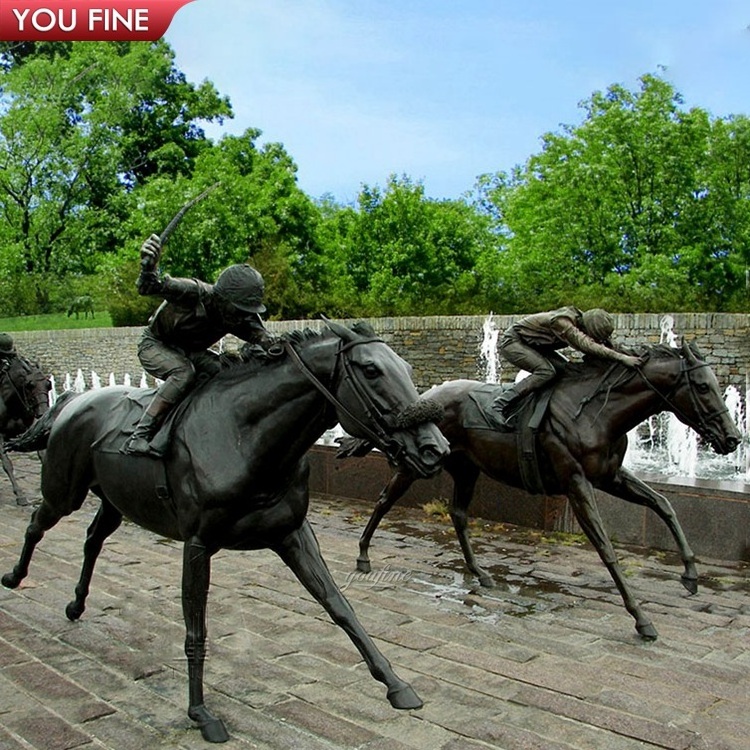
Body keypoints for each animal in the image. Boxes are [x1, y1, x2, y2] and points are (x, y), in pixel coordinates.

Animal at [0, 356, 50, 506]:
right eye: (30, 385)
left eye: (48, 384)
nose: (43, 412)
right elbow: (7, 464)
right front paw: (20, 494)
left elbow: (42, 455)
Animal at [352, 344, 740, 644]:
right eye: (703, 386)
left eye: (715, 384)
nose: (732, 438)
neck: (598, 412)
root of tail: (425, 396)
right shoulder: (576, 481)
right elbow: (606, 548)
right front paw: (642, 619)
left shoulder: (610, 477)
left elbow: (663, 503)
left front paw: (690, 575)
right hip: (416, 464)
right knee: (385, 500)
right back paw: (363, 555)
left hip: (466, 468)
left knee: (458, 514)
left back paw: (480, 572)